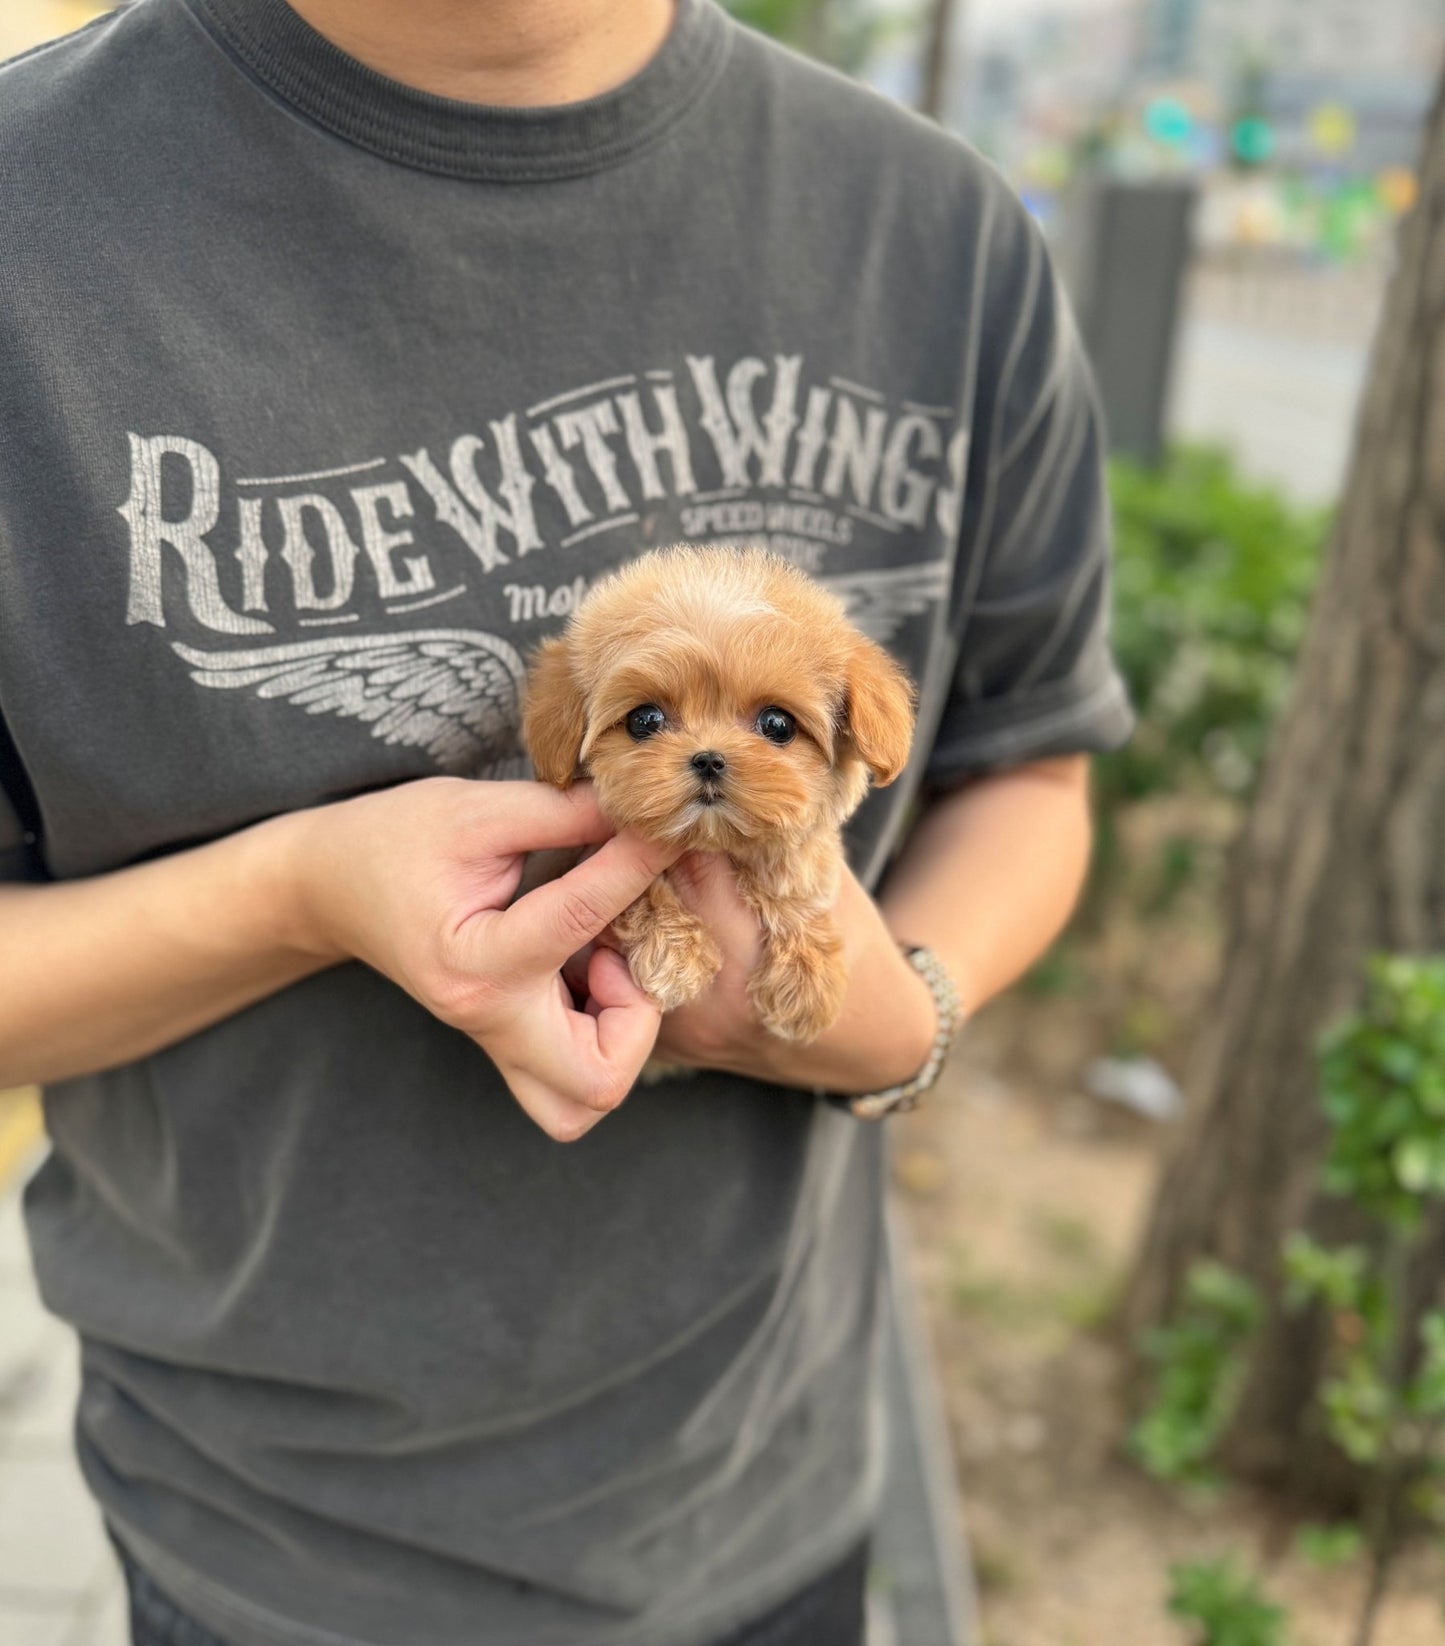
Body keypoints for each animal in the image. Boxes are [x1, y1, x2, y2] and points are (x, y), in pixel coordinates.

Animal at [523, 549, 915, 1040]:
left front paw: (807, 976)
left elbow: (798, 873)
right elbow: (639, 890)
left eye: (777, 724)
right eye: (644, 720)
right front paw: (678, 954)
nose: (708, 759)